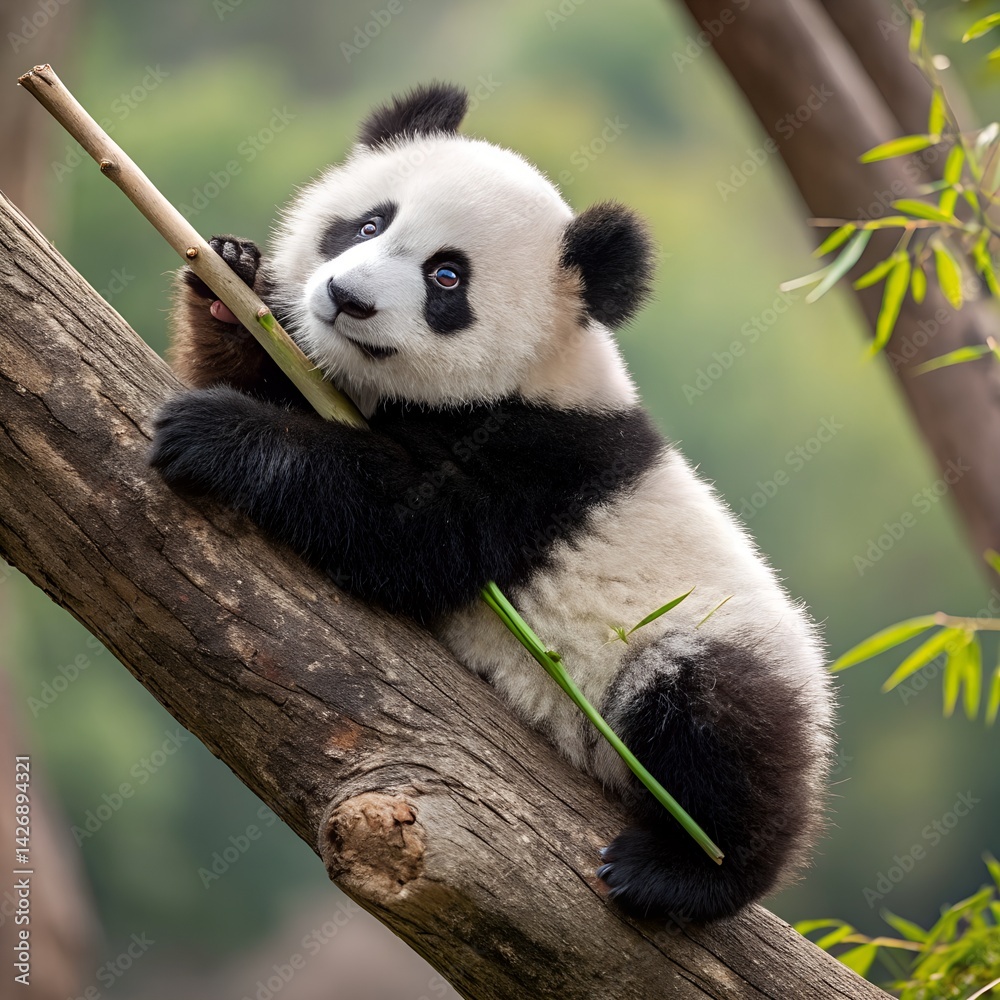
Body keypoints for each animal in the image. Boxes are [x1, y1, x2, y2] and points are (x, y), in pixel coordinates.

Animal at [150, 83, 835, 923]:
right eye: (370, 223)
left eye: (447, 278)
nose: (347, 298)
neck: (533, 371)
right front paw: (231, 282)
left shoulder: (539, 461)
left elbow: (409, 528)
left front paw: (213, 433)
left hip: (707, 639)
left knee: (719, 727)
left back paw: (680, 871)